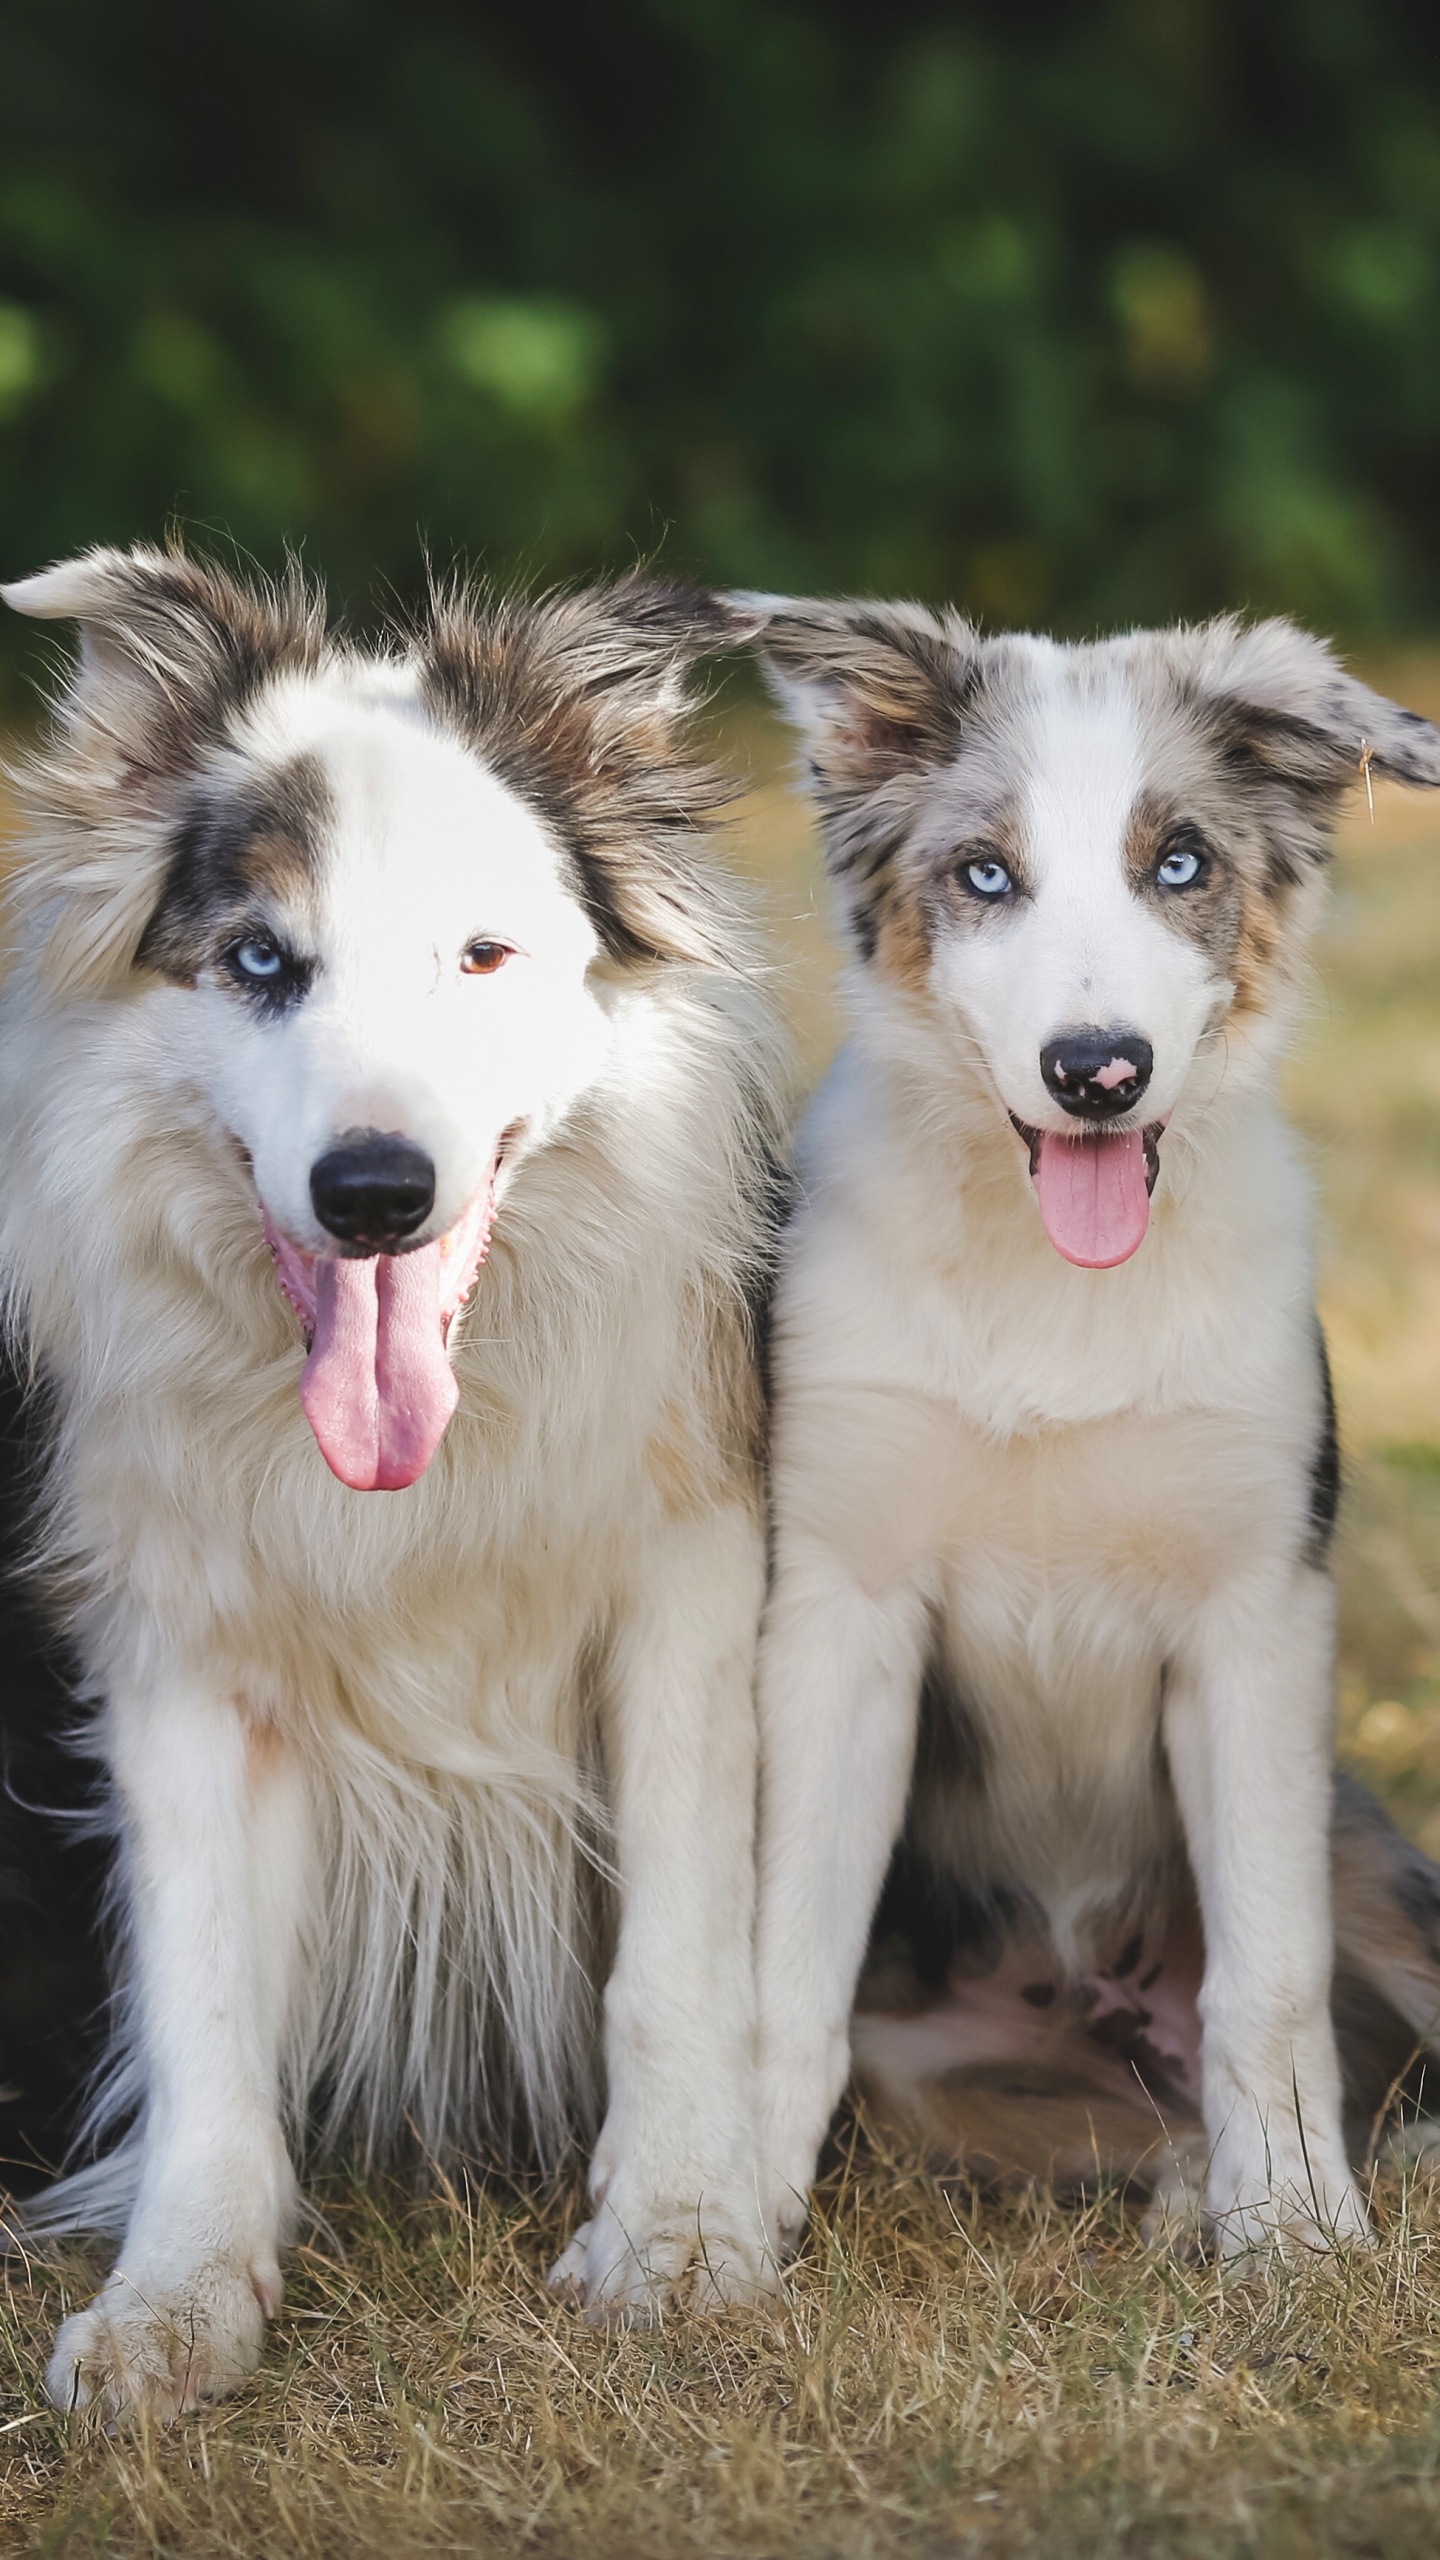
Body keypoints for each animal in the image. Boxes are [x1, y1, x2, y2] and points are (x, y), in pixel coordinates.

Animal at [0, 545, 778, 2416]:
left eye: (484, 956)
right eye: (260, 959)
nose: (372, 1193)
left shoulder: (689, 1584)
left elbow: (680, 1941)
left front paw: (680, 2233)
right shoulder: (177, 1643)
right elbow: (204, 1995)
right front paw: (177, 2299)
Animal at [743, 599, 1434, 2263]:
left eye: (1179, 863)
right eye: (985, 874)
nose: (1099, 1071)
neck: (1051, 1287)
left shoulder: (1255, 1622)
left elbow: (1269, 1980)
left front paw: (1298, 2231)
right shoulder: (840, 1615)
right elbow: (781, 1978)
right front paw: (700, 2237)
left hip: (1376, 1863)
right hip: (938, 2073)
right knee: (1139, 2126)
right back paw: (1188, 2186)